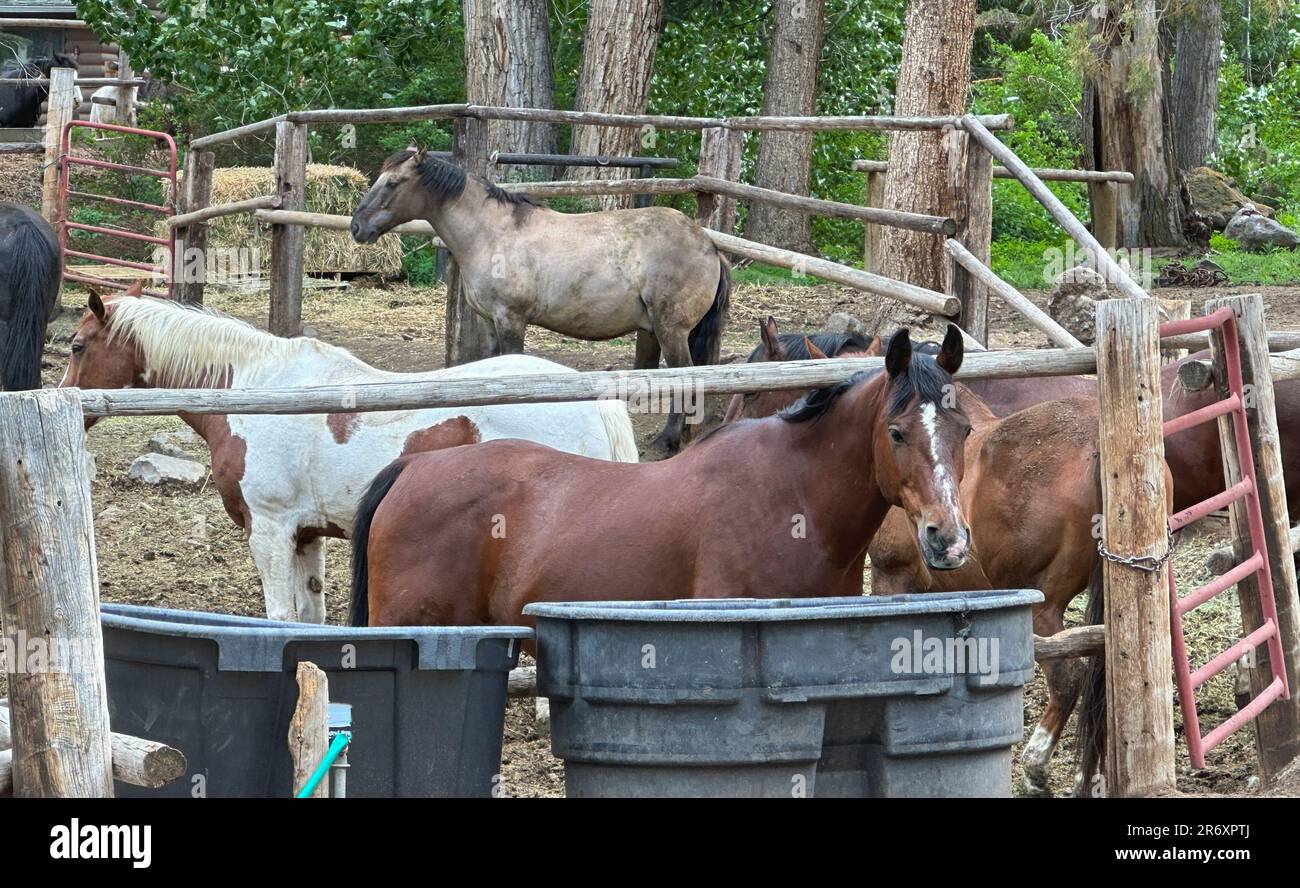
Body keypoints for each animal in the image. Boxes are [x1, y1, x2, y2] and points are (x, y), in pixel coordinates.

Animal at [60, 282, 639, 623]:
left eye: (76, 346)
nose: (68, 400)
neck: (254, 389)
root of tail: (591, 397)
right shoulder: (305, 534)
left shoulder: (269, 529)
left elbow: (280, 617)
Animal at [349, 145, 731, 451]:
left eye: (392, 183)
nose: (356, 227)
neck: (492, 233)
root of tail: (709, 245)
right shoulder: (491, 322)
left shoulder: (511, 320)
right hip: (651, 331)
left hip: (671, 331)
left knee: (686, 379)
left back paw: (669, 441)